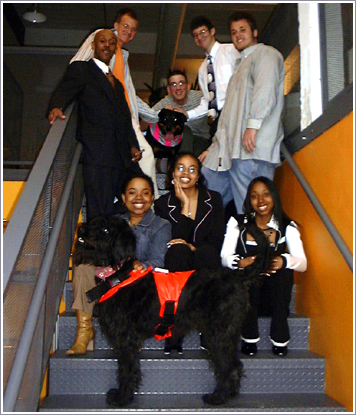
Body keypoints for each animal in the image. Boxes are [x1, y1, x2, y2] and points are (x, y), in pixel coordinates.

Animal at [74, 216, 270, 408]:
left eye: (106, 229)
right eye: (94, 221)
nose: (81, 229)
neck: (118, 276)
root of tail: (236, 276)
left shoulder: (125, 339)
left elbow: (126, 369)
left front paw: (122, 397)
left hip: (218, 335)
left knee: (226, 367)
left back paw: (218, 397)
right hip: (226, 334)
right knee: (235, 365)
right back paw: (229, 393)